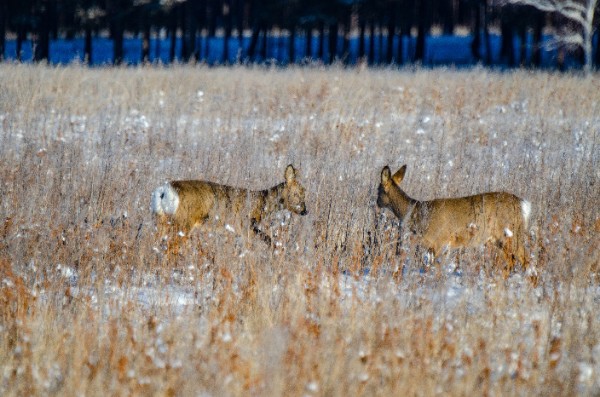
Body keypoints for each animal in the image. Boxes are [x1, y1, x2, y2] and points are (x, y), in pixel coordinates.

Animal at [152, 163, 308, 249]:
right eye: (296, 193)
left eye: (304, 192)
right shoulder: (245, 226)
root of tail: (164, 191)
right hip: (184, 223)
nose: (305, 211)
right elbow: (265, 238)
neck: (260, 202)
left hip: (161, 220)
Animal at [378, 163, 532, 276]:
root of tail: (523, 204)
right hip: (501, 239)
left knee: (526, 262)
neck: (416, 211)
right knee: (512, 262)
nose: (376, 202)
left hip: (512, 234)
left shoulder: (440, 241)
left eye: (378, 190)